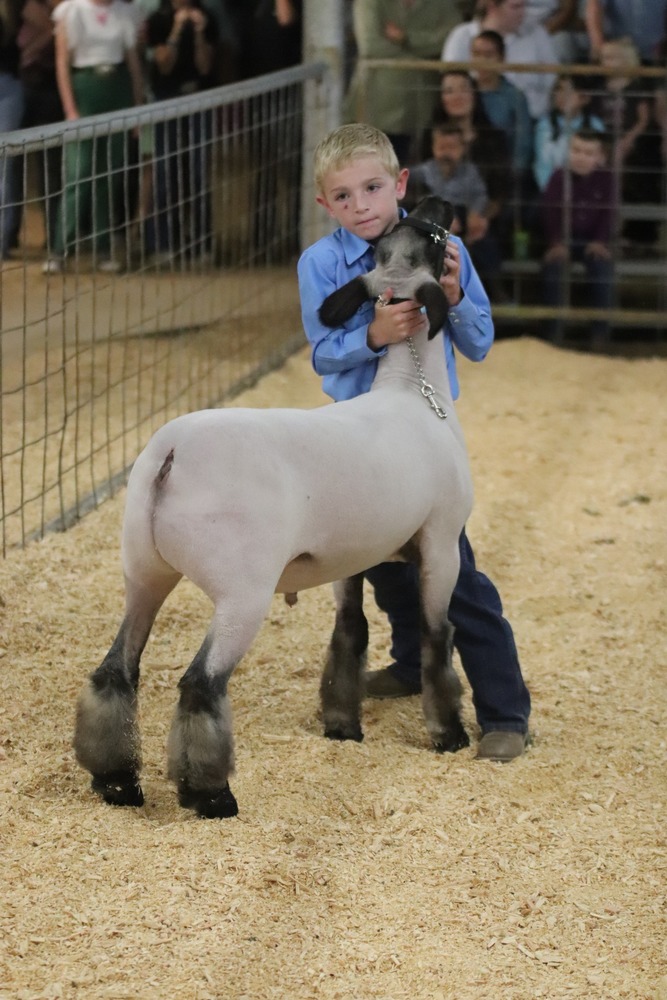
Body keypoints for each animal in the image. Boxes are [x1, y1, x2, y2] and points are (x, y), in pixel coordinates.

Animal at [73, 196, 473, 819]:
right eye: (432, 236)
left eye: (404, 235)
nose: (440, 203)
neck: (413, 389)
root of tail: (170, 454)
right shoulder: (440, 543)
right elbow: (438, 636)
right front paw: (448, 733)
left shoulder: (351, 554)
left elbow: (350, 631)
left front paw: (342, 726)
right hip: (243, 589)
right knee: (200, 683)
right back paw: (210, 794)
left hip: (143, 570)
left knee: (116, 669)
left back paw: (116, 783)